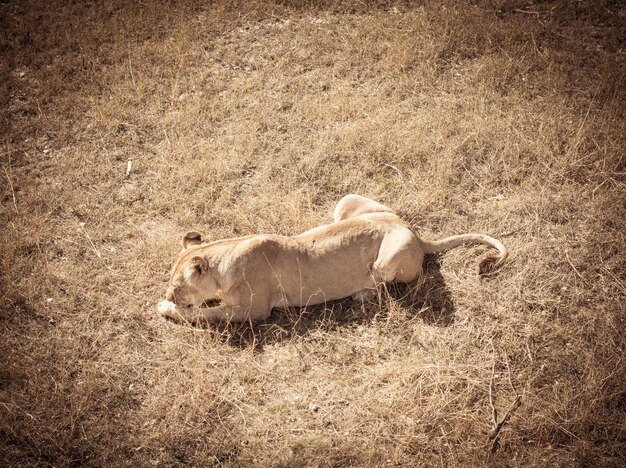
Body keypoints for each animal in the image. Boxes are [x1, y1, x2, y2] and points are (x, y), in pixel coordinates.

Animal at [157, 193, 508, 322]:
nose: (169, 295)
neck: (223, 254)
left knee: (388, 284)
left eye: (177, 286)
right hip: (347, 201)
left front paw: (167, 308)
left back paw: (362, 294)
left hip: (386, 259)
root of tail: (413, 231)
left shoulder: (250, 312)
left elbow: (202, 315)